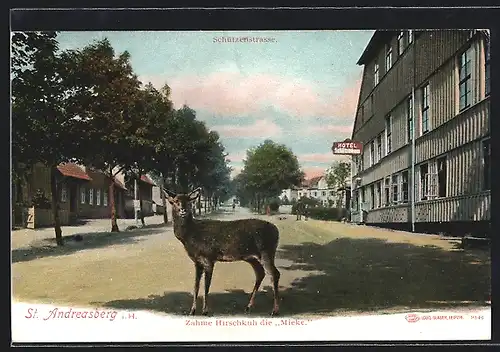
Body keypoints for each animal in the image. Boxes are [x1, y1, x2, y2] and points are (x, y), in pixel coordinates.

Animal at [164, 187, 282, 316]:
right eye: (175, 201)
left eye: (189, 200)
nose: (183, 210)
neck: (191, 235)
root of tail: (277, 231)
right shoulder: (197, 262)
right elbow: (196, 286)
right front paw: (192, 311)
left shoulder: (209, 258)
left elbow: (206, 286)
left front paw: (205, 311)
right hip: (252, 257)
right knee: (260, 273)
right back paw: (248, 307)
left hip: (266, 251)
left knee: (275, 273)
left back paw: (275, 310)